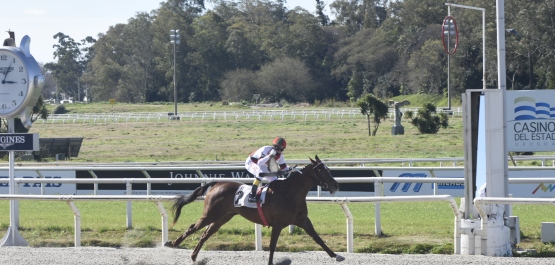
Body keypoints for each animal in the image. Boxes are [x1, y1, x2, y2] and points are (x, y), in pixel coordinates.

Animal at [165, 155, 346, 264]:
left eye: (328, 169)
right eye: (321, 170)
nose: (336, 185)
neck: (290, 193)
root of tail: (217, 183)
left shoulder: (302, 220)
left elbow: (318, 239)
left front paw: (336, 255)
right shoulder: (278, 223)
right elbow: (272, 245)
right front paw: (270, 262)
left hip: (223, 217)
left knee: (205, 234)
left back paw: (194, 256)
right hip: (211, 214)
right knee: (192, 228)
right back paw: (173, 243)